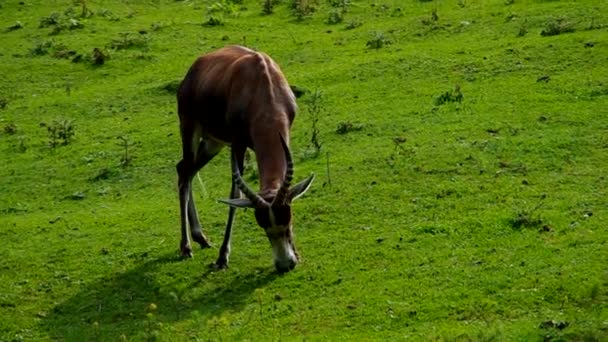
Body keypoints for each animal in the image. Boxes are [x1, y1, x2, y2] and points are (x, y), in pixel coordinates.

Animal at [175, 45, 314, 274]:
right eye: (263, 226)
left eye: (288, 221)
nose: (285, 264)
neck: (261, 83)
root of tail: (195, 68)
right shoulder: (238, 144)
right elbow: (235, 193)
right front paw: (222, 258)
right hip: (190, 128)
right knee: (185, 174)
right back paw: (186, 247)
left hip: (213, 142)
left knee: (185, 170)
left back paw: (201, 238)